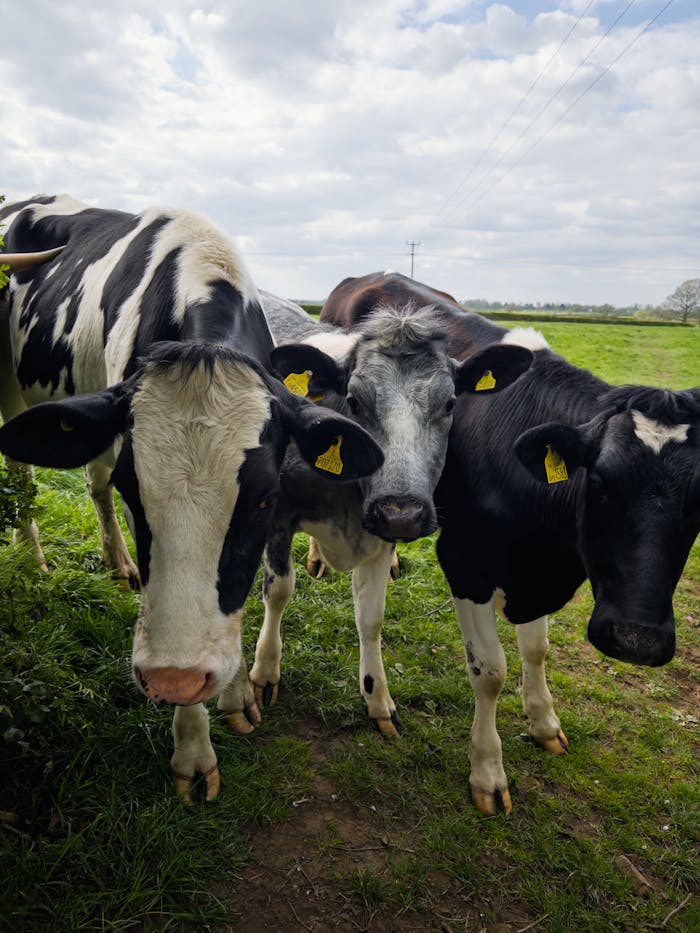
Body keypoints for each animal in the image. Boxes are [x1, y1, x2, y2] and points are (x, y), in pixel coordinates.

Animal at [0, 195, 383, 802]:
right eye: (137, 495)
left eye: (264, 499)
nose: (173, 679)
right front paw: (194, 747)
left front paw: (235, 693)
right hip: (11, 387)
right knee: (26, 476)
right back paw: (34, 557)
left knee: (91, 482)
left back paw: (117, 561)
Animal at [250, 288, 532, 735]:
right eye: (354, 400)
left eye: (450, 402)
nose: (401, 513)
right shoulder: (277, 514)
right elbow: (277, 591)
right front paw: (264, 673)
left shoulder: (379, 536)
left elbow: (371, 617)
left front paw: (377, 696)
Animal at [321, 272, 700, 814]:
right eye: (600, 483)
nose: (637, 640)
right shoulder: (465, 563)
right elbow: (491, 671)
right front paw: (487, 770)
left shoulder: (536, 569)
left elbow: (536, 649)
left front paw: (544, 722)